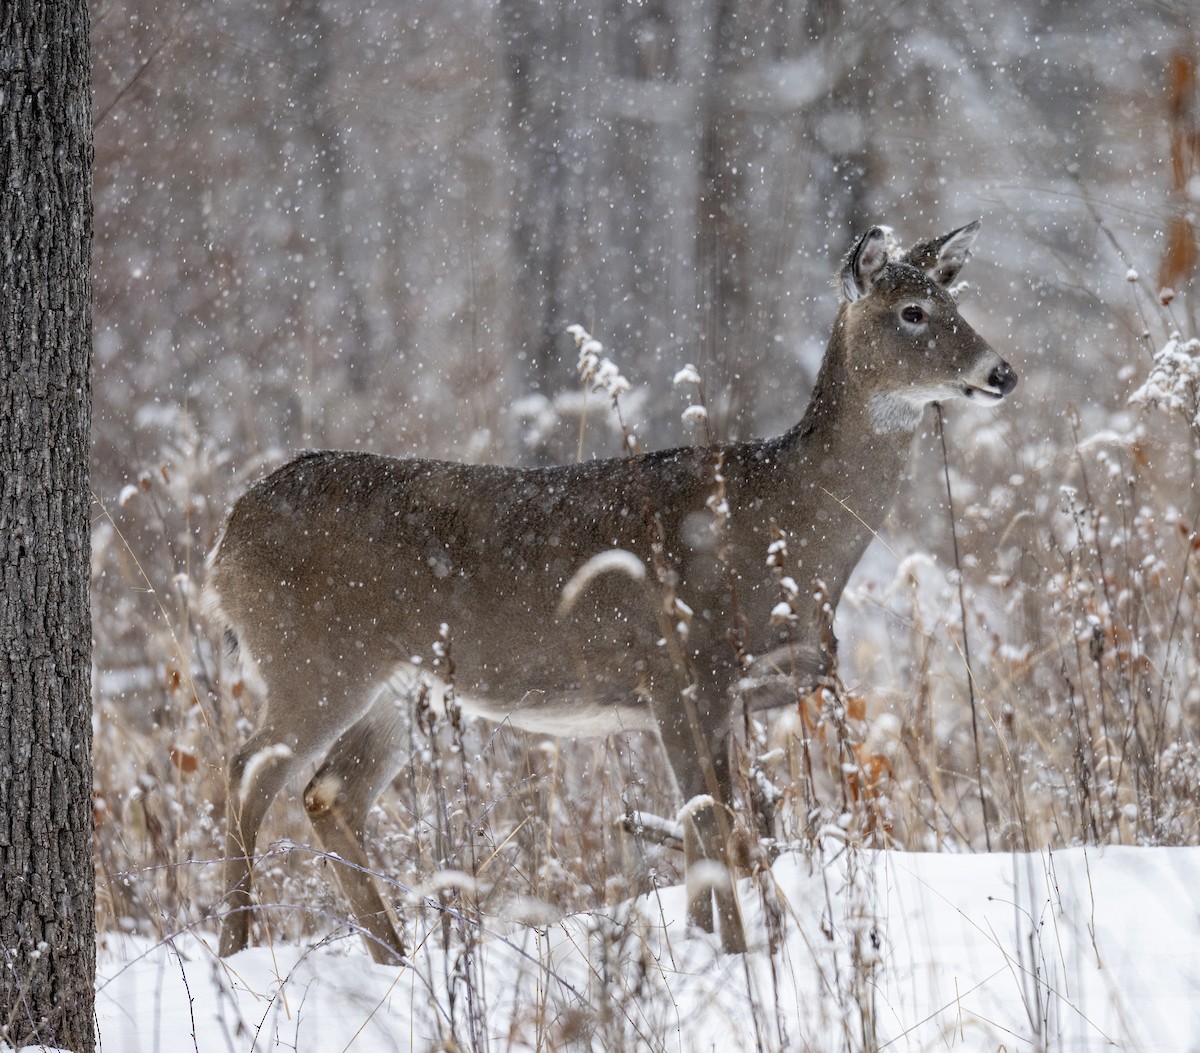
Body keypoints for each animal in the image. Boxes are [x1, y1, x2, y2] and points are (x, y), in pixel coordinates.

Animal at [206, 221, 1017, 963]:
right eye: (911, 310)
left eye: (953, 296)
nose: (1002, 371)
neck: (782, 525)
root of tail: (224, 538)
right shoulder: (682, 667)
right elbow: (719, 822)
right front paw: (742, 955)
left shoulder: (732, 693)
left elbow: (708, 824)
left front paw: (707, 950)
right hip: (313, 658)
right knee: (246, 769)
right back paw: (233, 948)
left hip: (397, 687)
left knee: (328, 793)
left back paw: (393, 958)